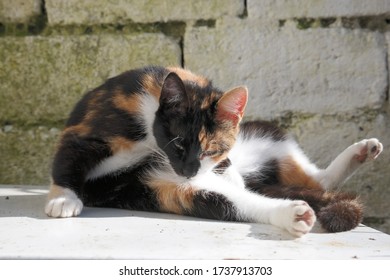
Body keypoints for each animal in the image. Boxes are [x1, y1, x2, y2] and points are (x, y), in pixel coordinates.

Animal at [45, 65, 380, 236]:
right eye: (179, 143)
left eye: (211, 150)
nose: (190, 170)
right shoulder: (92, 127)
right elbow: (68, 157)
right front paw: (63, 198)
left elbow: (226, 166)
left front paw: (229, 170)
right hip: (165, 188)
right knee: (235, 201)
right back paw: (293, 213)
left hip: (270, 135)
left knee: (318, 179)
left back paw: (363, 151)